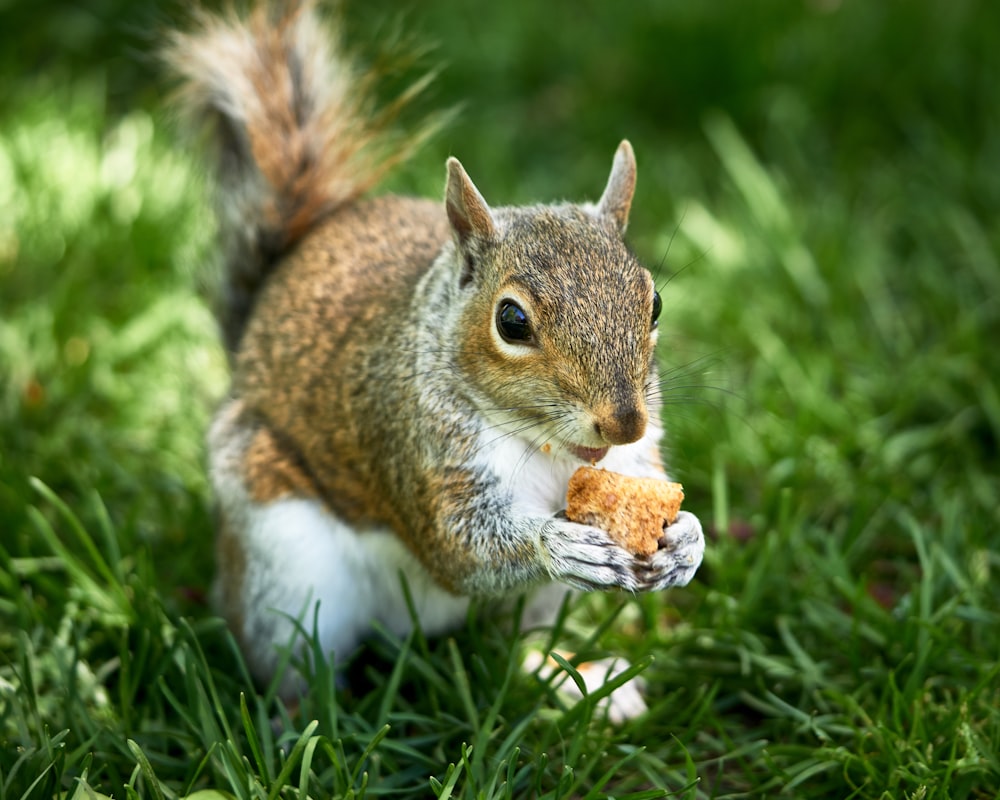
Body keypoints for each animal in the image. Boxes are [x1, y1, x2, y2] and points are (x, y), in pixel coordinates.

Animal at [166, 0, 704, 720]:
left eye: (655, 302)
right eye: (512, 321)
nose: (624, 423)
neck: (542, 448)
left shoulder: (633, 462)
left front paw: (688, 540)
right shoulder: (414, 446)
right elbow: (458, 546)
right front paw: (552, 542)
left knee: (519, 644)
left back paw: (577, 680)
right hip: (283, 565)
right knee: (289, 660)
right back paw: (305, 720)